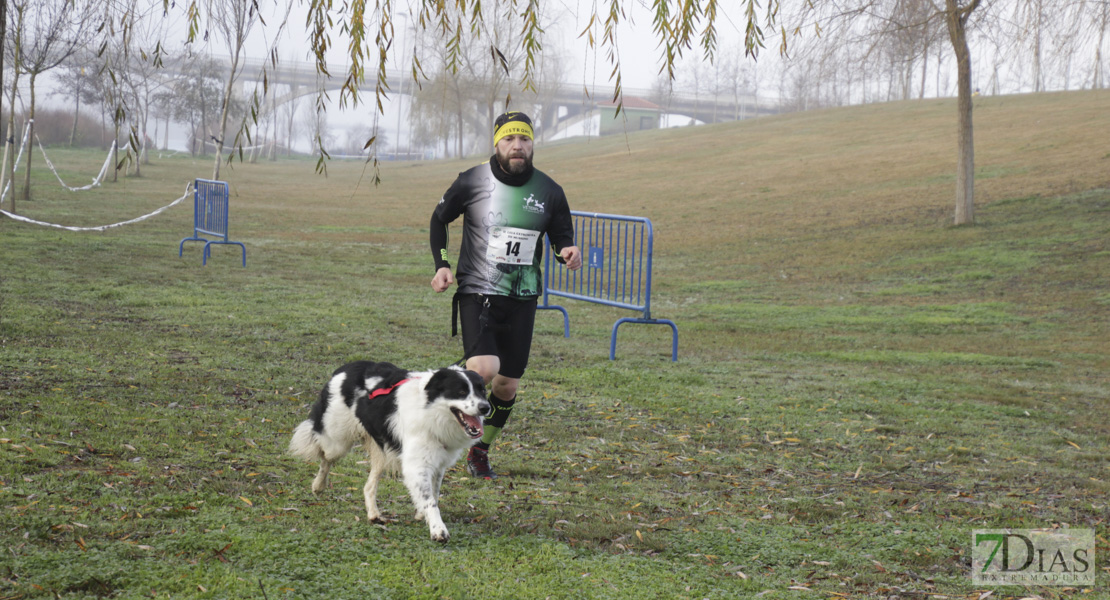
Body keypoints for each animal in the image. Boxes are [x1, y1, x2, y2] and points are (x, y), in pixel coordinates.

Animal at [290, 359, 490, 543]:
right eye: (461, 392)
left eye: (482, 391)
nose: (486, 407)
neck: (431, 411)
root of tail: (345, 367)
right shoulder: (417, 465)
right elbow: (430, 500)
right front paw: (438, 529)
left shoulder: (438, 464)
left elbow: (433, 494)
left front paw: (422, 514)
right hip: (337, 441)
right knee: (325, 458)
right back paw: (318, 485)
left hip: (381, 453)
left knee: (368, 486)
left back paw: (374, 514)